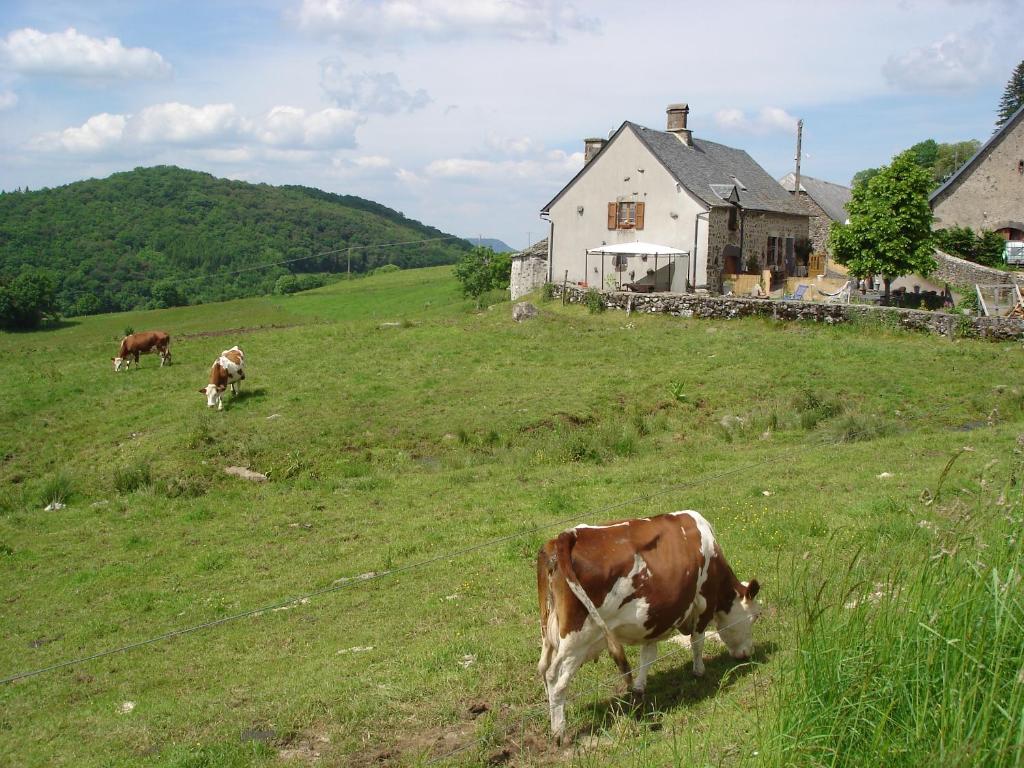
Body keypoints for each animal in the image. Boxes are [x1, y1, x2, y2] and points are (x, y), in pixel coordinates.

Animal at [536, 512, 761, 741]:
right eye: (754, 617)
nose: (749, 652)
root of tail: (566, 536)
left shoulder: (655, 619)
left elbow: (648, 656)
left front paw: (639, 688)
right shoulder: (704, 602)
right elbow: (697, 642)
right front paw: (699, 671)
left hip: (549, 631)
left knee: (543, 667)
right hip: (577, 640)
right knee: (556, 678)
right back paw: (559, 732)